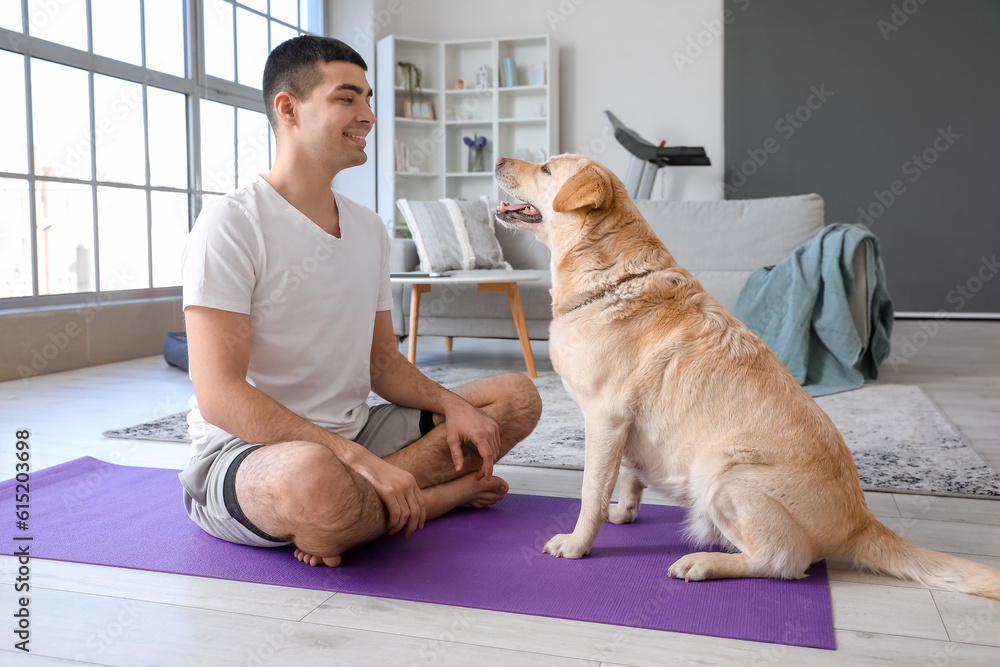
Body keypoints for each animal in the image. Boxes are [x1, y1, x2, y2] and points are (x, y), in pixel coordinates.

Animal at [494, 155, 1000, 600]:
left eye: (546, 168)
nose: (497, 159)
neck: (611, 279)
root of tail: (861, 520)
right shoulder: (623, 429)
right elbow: (628, 479)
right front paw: (625, 513)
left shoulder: (604, 419)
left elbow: (590, 492)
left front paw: (577, 544)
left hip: (723, 475)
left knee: (784, 562)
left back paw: (704, 563)